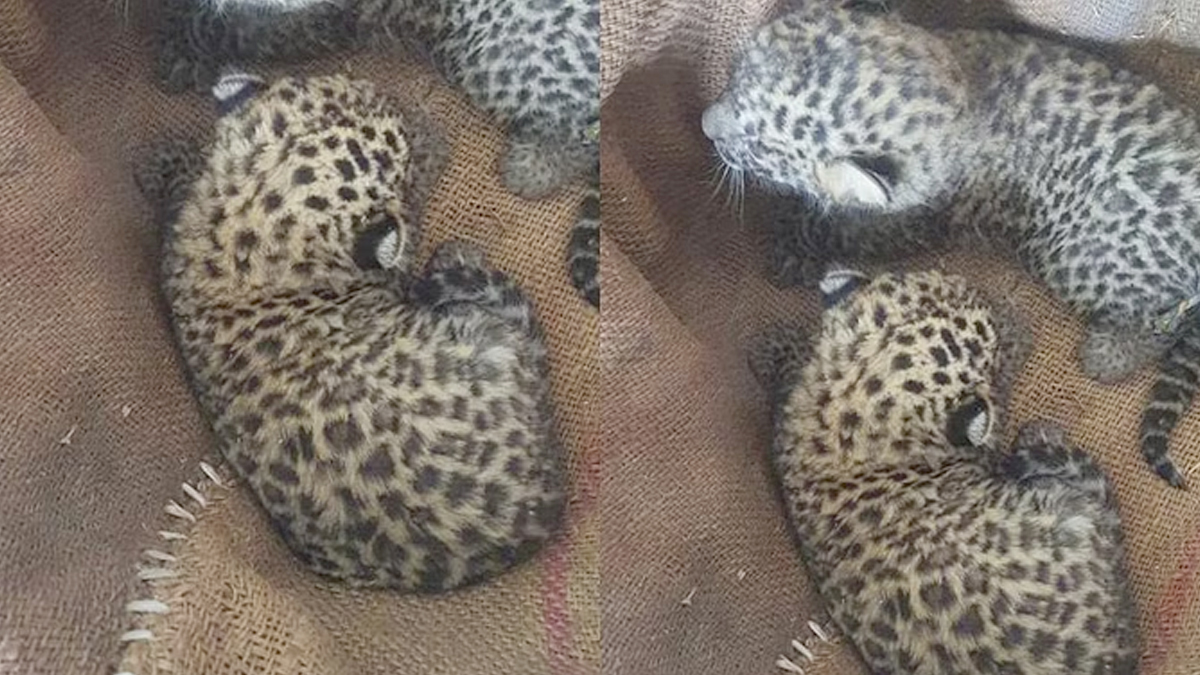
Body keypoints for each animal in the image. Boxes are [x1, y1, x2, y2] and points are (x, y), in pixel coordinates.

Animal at [133, 71, 567, 591]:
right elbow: (408, 230)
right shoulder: (394, 266)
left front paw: (160, 159)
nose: (413, 109)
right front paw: (431, 142)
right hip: (488, 338)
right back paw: (457, 260)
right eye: (403, 160)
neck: (245, 236)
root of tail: (539, 517)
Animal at [152, 0, 601, 309]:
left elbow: (228, 30)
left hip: (501, 52)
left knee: (581, 136)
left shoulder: (316, 21)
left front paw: (181, 52)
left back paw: (529, 167)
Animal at [703, 0, 1200, 487]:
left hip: (1086, 258)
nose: (707, 125)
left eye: (759, 147)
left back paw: (1108, 353)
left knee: (1165, 319)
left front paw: (790, 247)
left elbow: (844, 230)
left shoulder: (912, 221)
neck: (960, 88)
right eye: (736, 77)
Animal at [749, 267, 1140, 675]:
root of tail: (1116, 658)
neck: (844, 416)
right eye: (990, 342)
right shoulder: (984, 440)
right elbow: (996, 402)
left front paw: (771, 345)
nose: (992, 297)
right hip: (1070, 511)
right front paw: (1016, 328)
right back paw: (1039, 439)